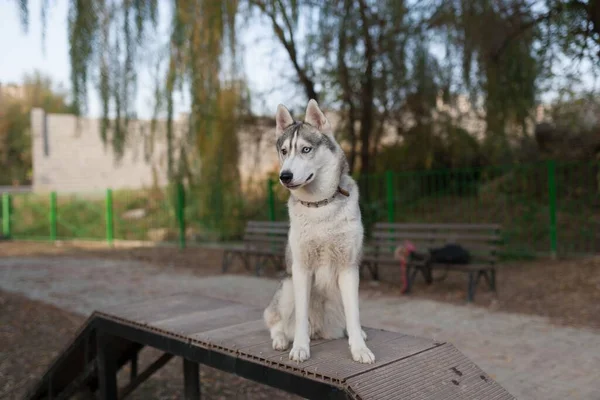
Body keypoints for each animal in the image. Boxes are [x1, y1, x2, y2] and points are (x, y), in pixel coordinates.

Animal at [264, 99, 376, 362]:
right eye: (284, 151)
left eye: (306, 149)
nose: (284, 176)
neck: (319, 206)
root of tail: (321, 331)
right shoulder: (301, 269)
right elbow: (300, 319)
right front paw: (300, 347)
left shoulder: (349, 269)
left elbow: (354, 315)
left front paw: (359, 348)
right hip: (287, 286)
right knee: (277, 323)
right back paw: (281, 340)